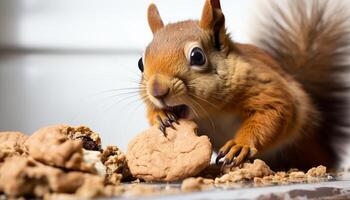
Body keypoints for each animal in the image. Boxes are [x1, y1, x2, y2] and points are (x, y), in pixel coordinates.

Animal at [137, 0, 350, 170]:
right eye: (140, 63)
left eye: (197, 56)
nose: (157, 90)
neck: (211, 111)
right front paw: (161, 115)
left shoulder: (264, 85)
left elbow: (273, 112)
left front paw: (240, 145)